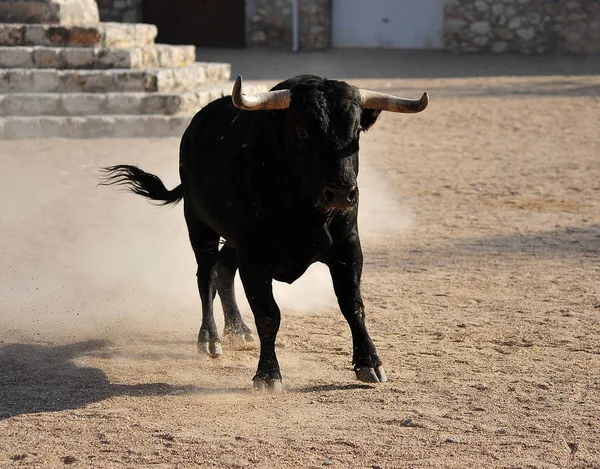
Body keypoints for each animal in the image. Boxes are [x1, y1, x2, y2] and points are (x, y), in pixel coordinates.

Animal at [101, 74, 426, 392]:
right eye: (302, 132)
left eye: (356, 132)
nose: (341, 193)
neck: (303, 211)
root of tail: (193, 128)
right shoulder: (255, 258)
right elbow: (268, 314)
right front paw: (268, 375)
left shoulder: (348, 249)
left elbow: (352, 305)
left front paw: (369, 363)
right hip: (199, 225)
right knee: (206, 275)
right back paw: (210, 339)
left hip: (232, 240)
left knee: (224, 268)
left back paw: (238, 330)